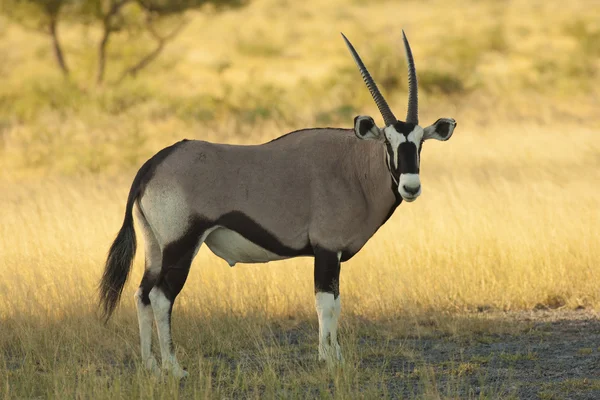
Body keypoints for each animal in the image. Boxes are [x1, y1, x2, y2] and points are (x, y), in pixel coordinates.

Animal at [99, 32, 454, 378]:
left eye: (420, 143)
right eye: (388, 143)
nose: (411, 186)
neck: (353, 166)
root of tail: (153, 164)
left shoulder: (334, 254)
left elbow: (337, 303)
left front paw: (334, 356)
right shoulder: (327, 249)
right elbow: (327, 304)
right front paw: (329, 361)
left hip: (155, 249)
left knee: (142, 294)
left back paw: (150, 366)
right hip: (181, 245)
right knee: (161, 297)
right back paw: (174, 368)